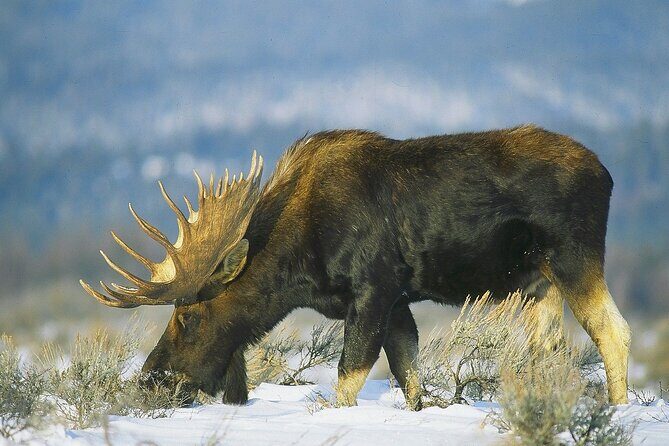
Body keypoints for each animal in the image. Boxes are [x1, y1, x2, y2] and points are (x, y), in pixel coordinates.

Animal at [80, 125, 631, 409]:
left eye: (188, 316)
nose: (150, 378)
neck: (297, 269)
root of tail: (608, 175)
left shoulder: (374, 289)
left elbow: (349, 376)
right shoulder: (398, 302)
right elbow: (409, 376)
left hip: (574, 257)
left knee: (613, 330)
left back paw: (619, 408)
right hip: (540, 284)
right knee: (550, 353)